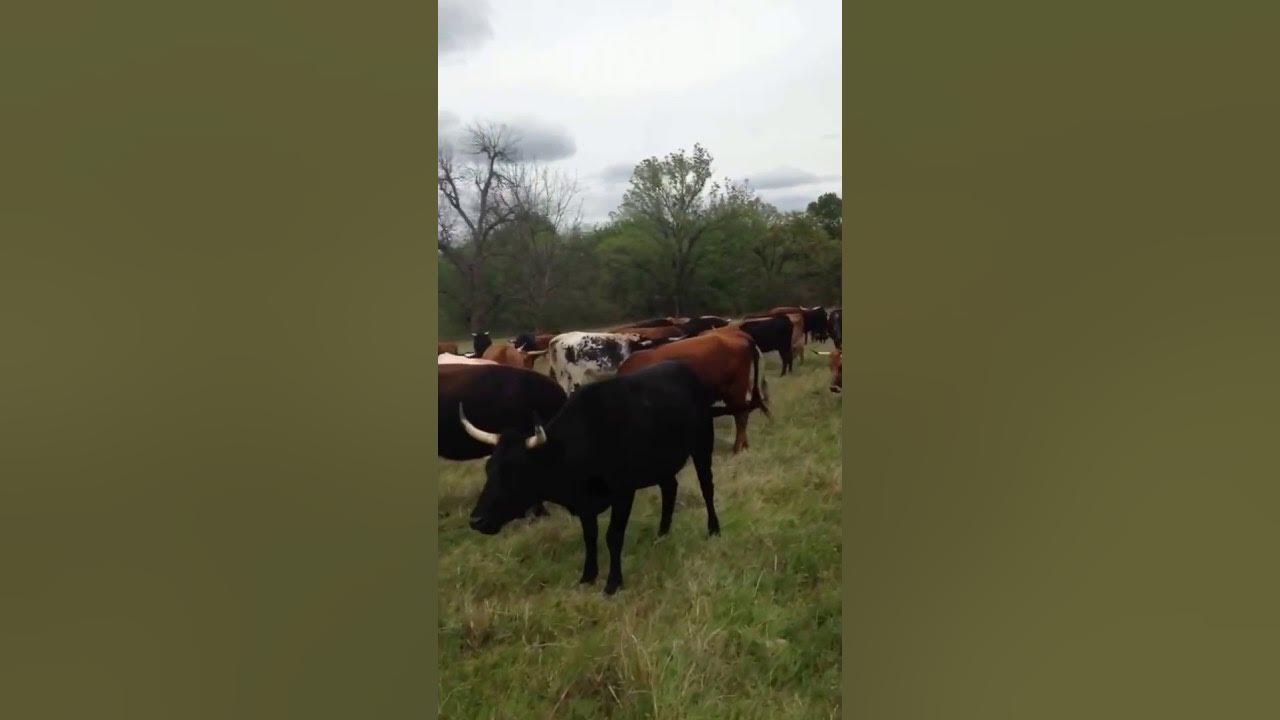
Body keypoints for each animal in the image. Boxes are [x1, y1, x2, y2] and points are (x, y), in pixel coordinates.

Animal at [460, 360, 720, 595]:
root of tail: (682, 368)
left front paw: (613, 583)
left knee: (707, 486)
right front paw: (588, 577)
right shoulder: (586, 504)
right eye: (489, 469)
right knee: (670, 488)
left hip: (703, 444)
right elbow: (590, 537)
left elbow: (613, 536)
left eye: (515, 471)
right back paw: (662, 535)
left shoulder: (623, 493)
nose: (476, 520)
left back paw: (713, 530)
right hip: (661, 464)